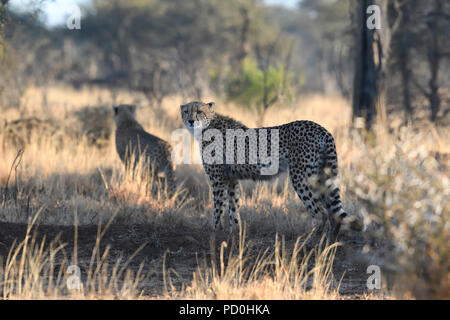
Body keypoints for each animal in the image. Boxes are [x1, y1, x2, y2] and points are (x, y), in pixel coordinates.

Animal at [179, 101, 362, 241]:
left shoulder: (217, 180)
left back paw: (310, 243)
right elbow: (234, 207)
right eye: (186, 111)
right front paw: (234, 233)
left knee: (320, 212)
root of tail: (321, 128)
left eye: (199, 111)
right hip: (322, 175)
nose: (190, 121)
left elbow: (218, 207)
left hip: (301, 177)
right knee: (333, 212)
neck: (208, 125)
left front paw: (215, 231)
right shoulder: (232, 179)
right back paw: (329, 244)